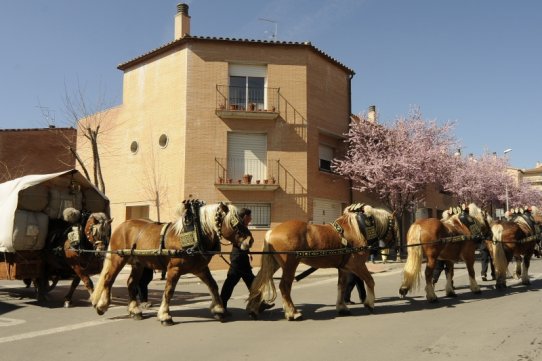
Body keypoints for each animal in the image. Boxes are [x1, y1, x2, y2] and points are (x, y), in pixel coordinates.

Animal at [92, 201, 255, 324]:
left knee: (131, 283)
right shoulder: (174, 269)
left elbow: (213, 286)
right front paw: (165, 315)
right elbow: (169, 291)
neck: (195, 233)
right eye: (235, 223)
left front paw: (219, 310)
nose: (250, 240)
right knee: (108, 279)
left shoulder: (200, 268)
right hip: (118, 258)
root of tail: (121, 226)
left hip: (138, 263)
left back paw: (135, 310)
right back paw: (102, 306)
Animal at [246, 202, 400, 320]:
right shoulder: (357, 265)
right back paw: (292, 312)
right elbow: (369, 280)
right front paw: (369, 303)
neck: (360, 229)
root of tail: (271, 232)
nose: (396, 246)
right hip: (290, 265)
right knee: (284, 286)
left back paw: (254, 309)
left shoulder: (344, 267)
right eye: (395, 227)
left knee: (258, 281)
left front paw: (342, 307)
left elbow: (342, 286)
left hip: (275, 263)